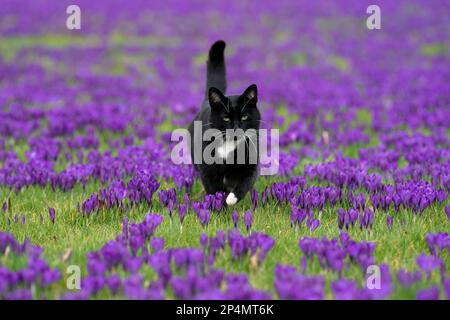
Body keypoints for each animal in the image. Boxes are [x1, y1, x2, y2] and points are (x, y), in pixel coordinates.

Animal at [187, 40, 260, 205]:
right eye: (226, 118)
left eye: (244, 117)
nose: (236, 128)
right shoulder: (208, 171)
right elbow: (215, 191)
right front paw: (219, 206)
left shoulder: (250, 166)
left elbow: (244, 184)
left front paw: (231, 199)